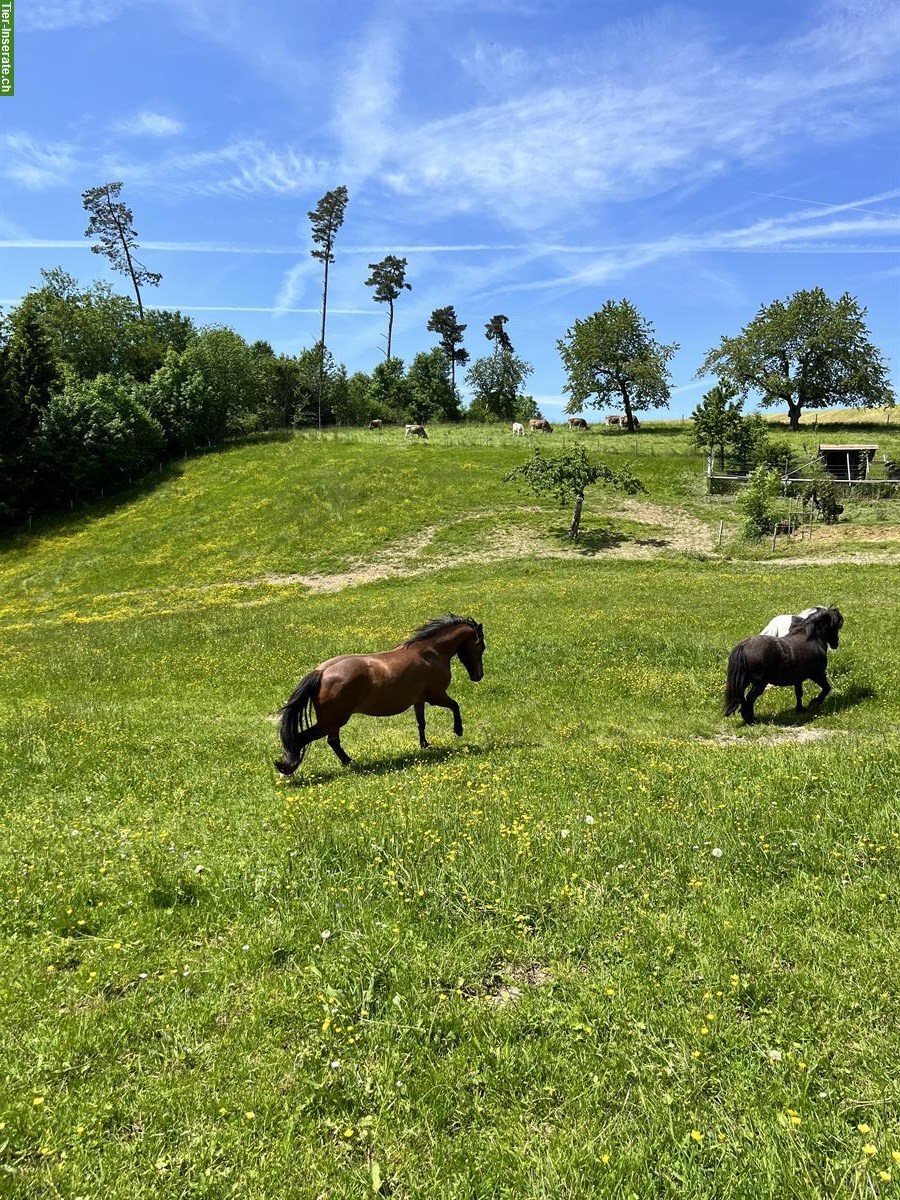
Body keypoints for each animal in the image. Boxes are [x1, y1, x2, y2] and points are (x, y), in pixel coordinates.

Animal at [274, 614, 487, 772]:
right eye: (481, 647)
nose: (478, 676)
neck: (430, 652)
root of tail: (322, 672)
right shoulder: (436, 696)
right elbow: (455, 705)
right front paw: (458, 730)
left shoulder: (419, 700)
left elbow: (421, 723)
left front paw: (425, 745)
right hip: (332, 720)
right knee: (306, 738)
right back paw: (290, 768)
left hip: (332, 722)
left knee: (332, 741)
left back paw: (347, 762)